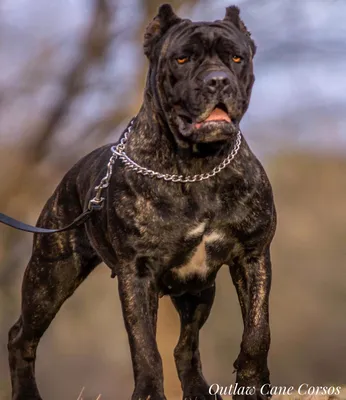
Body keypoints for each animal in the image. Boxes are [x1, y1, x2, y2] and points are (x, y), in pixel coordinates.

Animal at [6, 3, 278, 400]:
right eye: (182, 58)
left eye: (236, 58)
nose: (217, 80)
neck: (197, 167)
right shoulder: (137, 274)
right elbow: (145, 348)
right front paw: (149, 393)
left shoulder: (253, 256)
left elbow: (257, 333)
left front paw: (253, 386)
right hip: (50, 278)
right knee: (21, 337)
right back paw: (27, 393)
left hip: (198, 289)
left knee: (185, 346)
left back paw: (199, 390)